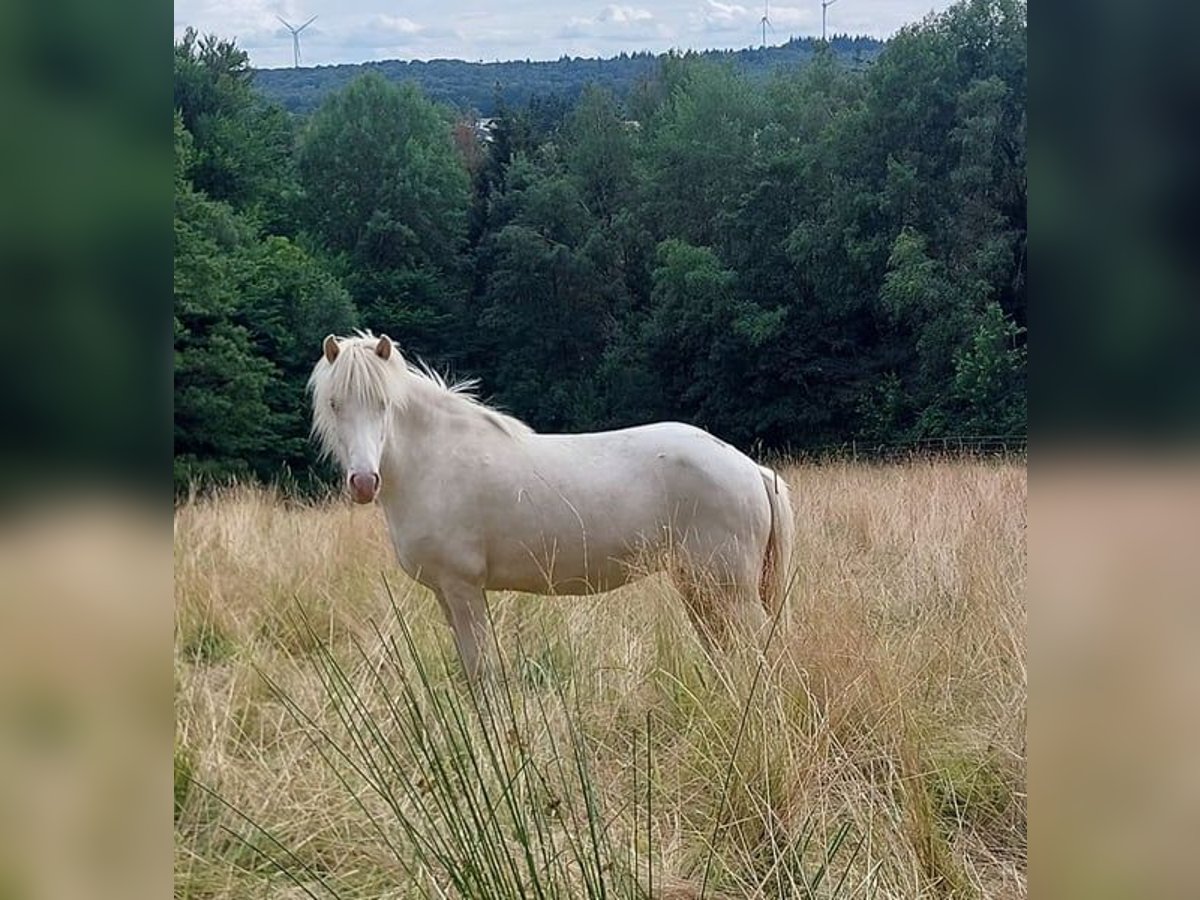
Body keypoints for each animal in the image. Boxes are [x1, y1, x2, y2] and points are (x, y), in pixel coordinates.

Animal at [309, 331, 796, 676]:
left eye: (383, 404)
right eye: (335, 404)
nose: (364, 482)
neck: (435, 460)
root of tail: (751, 468)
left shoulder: (464, 589)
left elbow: (481, 671)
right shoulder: (445, 595)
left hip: (729, 591)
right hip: (700, 587)